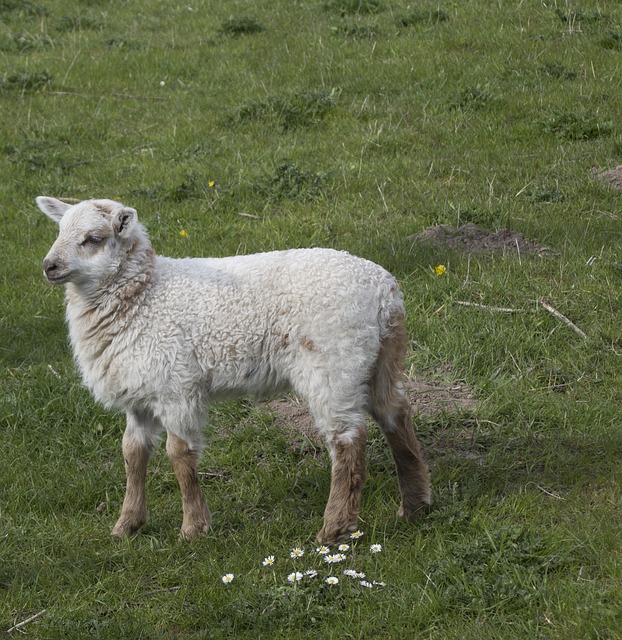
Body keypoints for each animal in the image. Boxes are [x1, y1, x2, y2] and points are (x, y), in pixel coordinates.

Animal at [36, 196, 432, 544]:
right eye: (59, 230)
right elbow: (132, 454)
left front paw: (193, 528)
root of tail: (384, 291)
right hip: (380, 357)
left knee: (348, 440)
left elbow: (179, 454)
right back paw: (414, 506)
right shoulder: (139, 391)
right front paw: (126, 525)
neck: (145, 295)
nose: (49, 266)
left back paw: (334, 528)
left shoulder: (176, 385)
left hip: (334, 361)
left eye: (93, 239)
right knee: (396, 413)